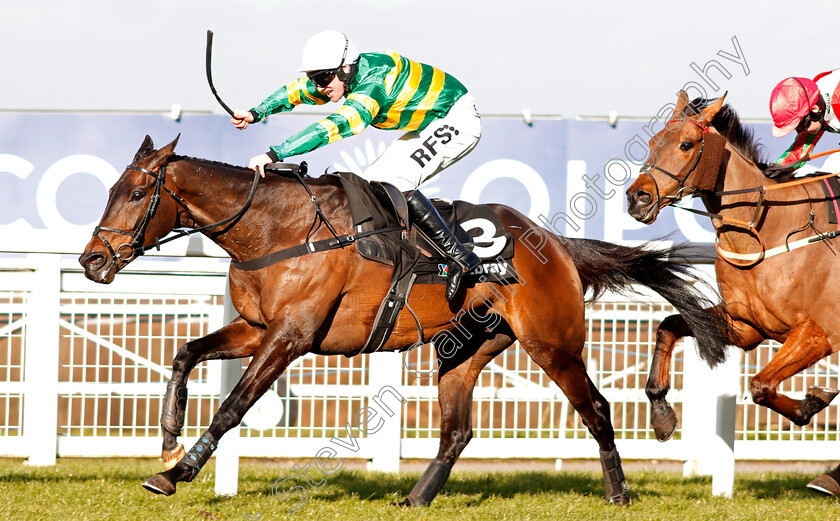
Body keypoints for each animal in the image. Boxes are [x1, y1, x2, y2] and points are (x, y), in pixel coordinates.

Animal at [80, 133, 728, 504]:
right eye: (108, 190)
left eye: (135, 194)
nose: (92, 260)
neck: (277, 228)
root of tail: (556, 244)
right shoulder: (257, 329)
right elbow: (185, 352)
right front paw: (168, 438)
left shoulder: (291, 337)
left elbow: (234, 405)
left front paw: (179, 471)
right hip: (463, 350)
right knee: (457, 431)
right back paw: (416, 498)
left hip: (553, 342)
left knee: (596, 409)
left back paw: (619, 493)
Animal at [628, 91, 840, 494]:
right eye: (652, 143)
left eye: (687, 144)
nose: (638, 198)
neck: (769, 229)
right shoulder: (746, 326)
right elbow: (669, 325)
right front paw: (661, 414)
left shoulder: (818, 333)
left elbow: (759, 385)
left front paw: (809, 404)